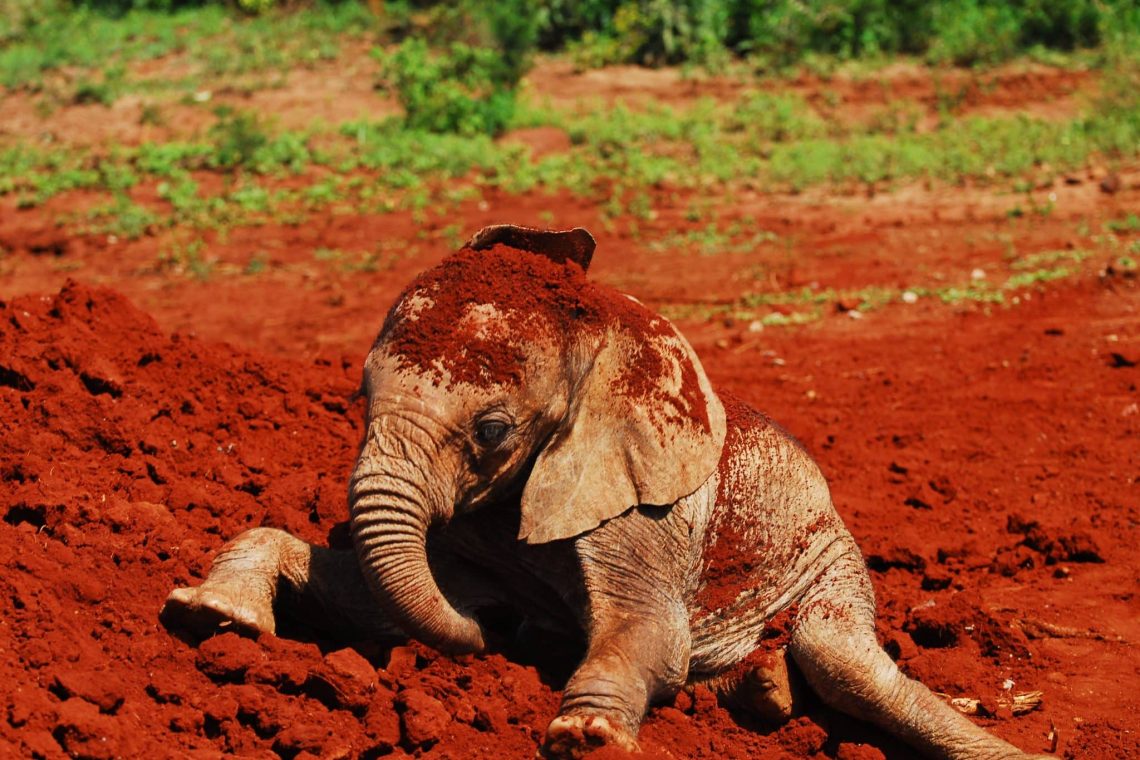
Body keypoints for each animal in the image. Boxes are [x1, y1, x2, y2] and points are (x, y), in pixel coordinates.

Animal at [163, 225, 1049, 760]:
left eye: (492, 430)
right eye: (356, 396)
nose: (501, 630)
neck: (600, 335)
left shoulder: (646, 507)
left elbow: (650, 634)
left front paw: (584, 736)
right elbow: (380, 594)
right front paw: (214, 616)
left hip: (830, 558)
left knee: (840, 658)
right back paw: (762, 689)